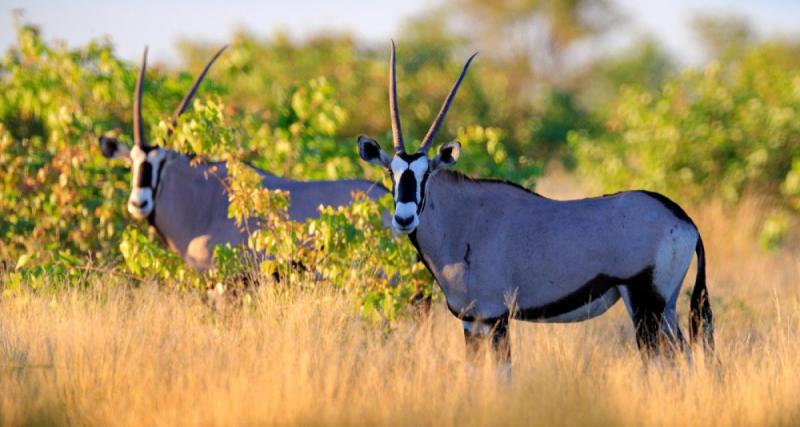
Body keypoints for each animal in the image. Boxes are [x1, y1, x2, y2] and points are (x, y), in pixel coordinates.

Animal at [356, 41, 712, 372]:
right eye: (391, 173)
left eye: (426, 174)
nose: (404, 218)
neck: (463, 224)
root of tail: (685, 220)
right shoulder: (471, 320)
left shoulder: (496, 315)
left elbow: (503, 374)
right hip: (666, 308)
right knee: (683, 356)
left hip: (645, 304)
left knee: (662, 362)